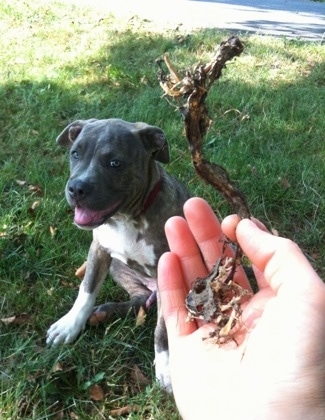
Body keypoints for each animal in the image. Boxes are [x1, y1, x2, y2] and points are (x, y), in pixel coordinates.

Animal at [44, 118, 189, 394]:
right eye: (75, 153)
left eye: (114, 163)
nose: (76, 188)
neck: (126, 218)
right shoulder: (98, 250)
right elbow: (86, 290)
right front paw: (70, 325)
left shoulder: (166, 270)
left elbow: (162, 327)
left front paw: (165, 368)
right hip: (119, 268)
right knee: (139, 298)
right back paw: (104, 312)